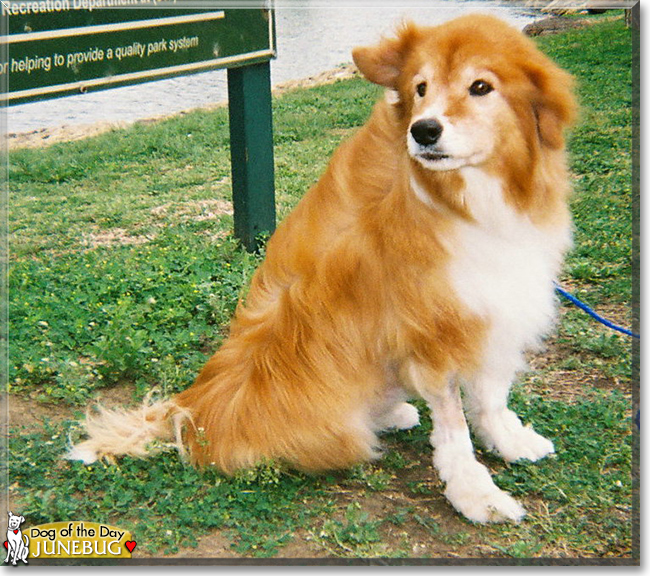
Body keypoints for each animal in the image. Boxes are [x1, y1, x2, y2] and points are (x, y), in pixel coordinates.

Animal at [68, 15, 576, 524]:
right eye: (421, 88)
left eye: (480, 87)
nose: (423, 131)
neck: (464, 195)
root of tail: (189, 410)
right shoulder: (433, 331)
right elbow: (454, 430)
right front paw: (476, 493)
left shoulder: (493, 302)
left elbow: (491, 395)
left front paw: (509, 440)